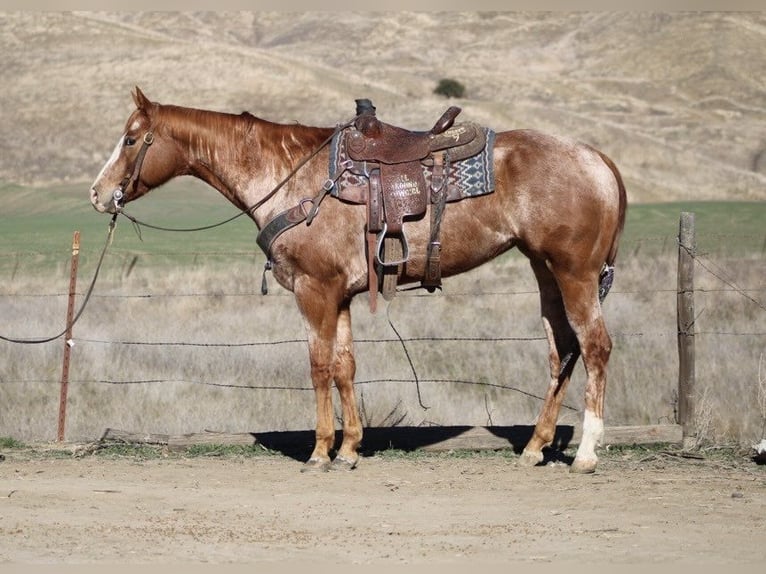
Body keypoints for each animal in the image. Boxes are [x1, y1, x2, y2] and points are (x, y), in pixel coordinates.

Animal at [91, 89, 632, 476]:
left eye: (132, 139)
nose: (98, 193)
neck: (295, 180)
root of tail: (596, 158)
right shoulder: (342, 296)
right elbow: (346, 367)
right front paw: (350, 448)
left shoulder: (314, 292)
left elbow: (318, 368)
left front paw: (320, 452)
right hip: (545, 271)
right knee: (562, 350)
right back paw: (536, 447)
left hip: (575, 274)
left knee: (595, 347)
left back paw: (586, 454)